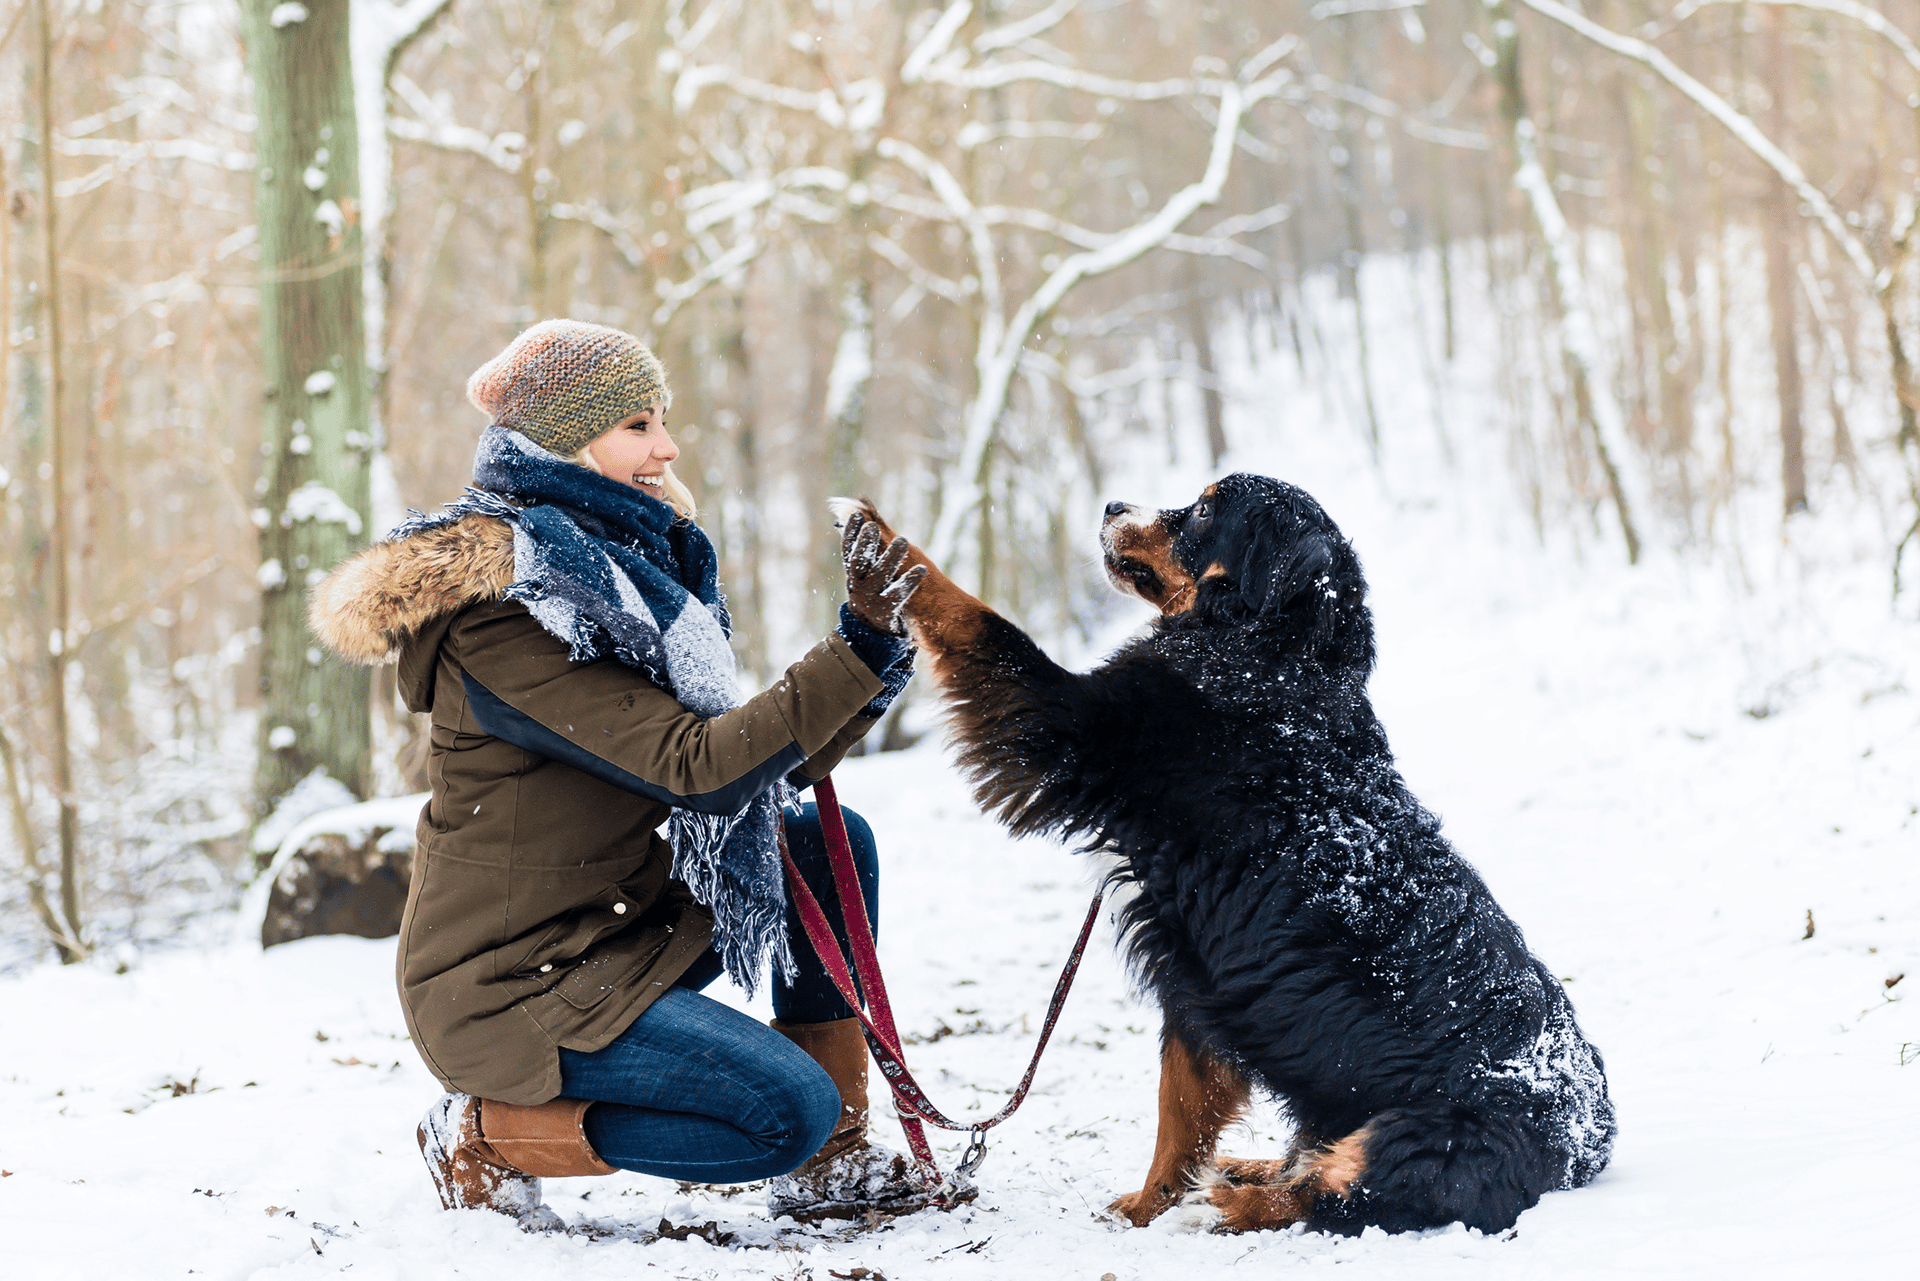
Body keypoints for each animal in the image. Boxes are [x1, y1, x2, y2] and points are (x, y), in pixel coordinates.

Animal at [840, 476, 1605, 1236]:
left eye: (1207, 508)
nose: (1113, 504)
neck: (1267, 652)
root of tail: (1588, 1143)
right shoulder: (1199, 978)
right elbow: (1180, 1109)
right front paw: (1145, 1206)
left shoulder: (1071, 722)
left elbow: (976, 618)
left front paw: (878, 542)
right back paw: (1249, 1168)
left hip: (1421, 1134)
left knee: (1333, 1193)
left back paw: (1235, 1198)